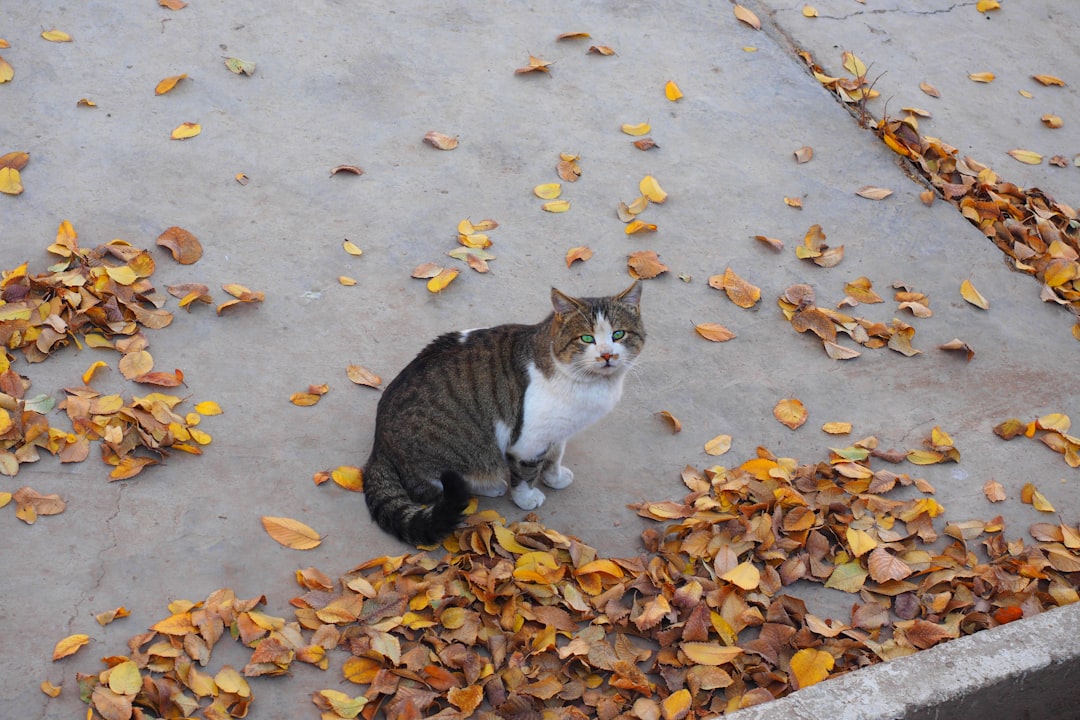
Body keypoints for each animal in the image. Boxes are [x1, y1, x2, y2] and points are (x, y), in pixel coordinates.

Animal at [367, 280, 643, 546]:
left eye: (618, 334)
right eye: (586, 339)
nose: (607, 355)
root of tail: (378, 443)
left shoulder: (559, 431)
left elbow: (554, 457)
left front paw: (554, 477)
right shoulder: (529, 443)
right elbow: (526, 474)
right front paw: (527, 498)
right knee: (435, 488)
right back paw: (489, 485)